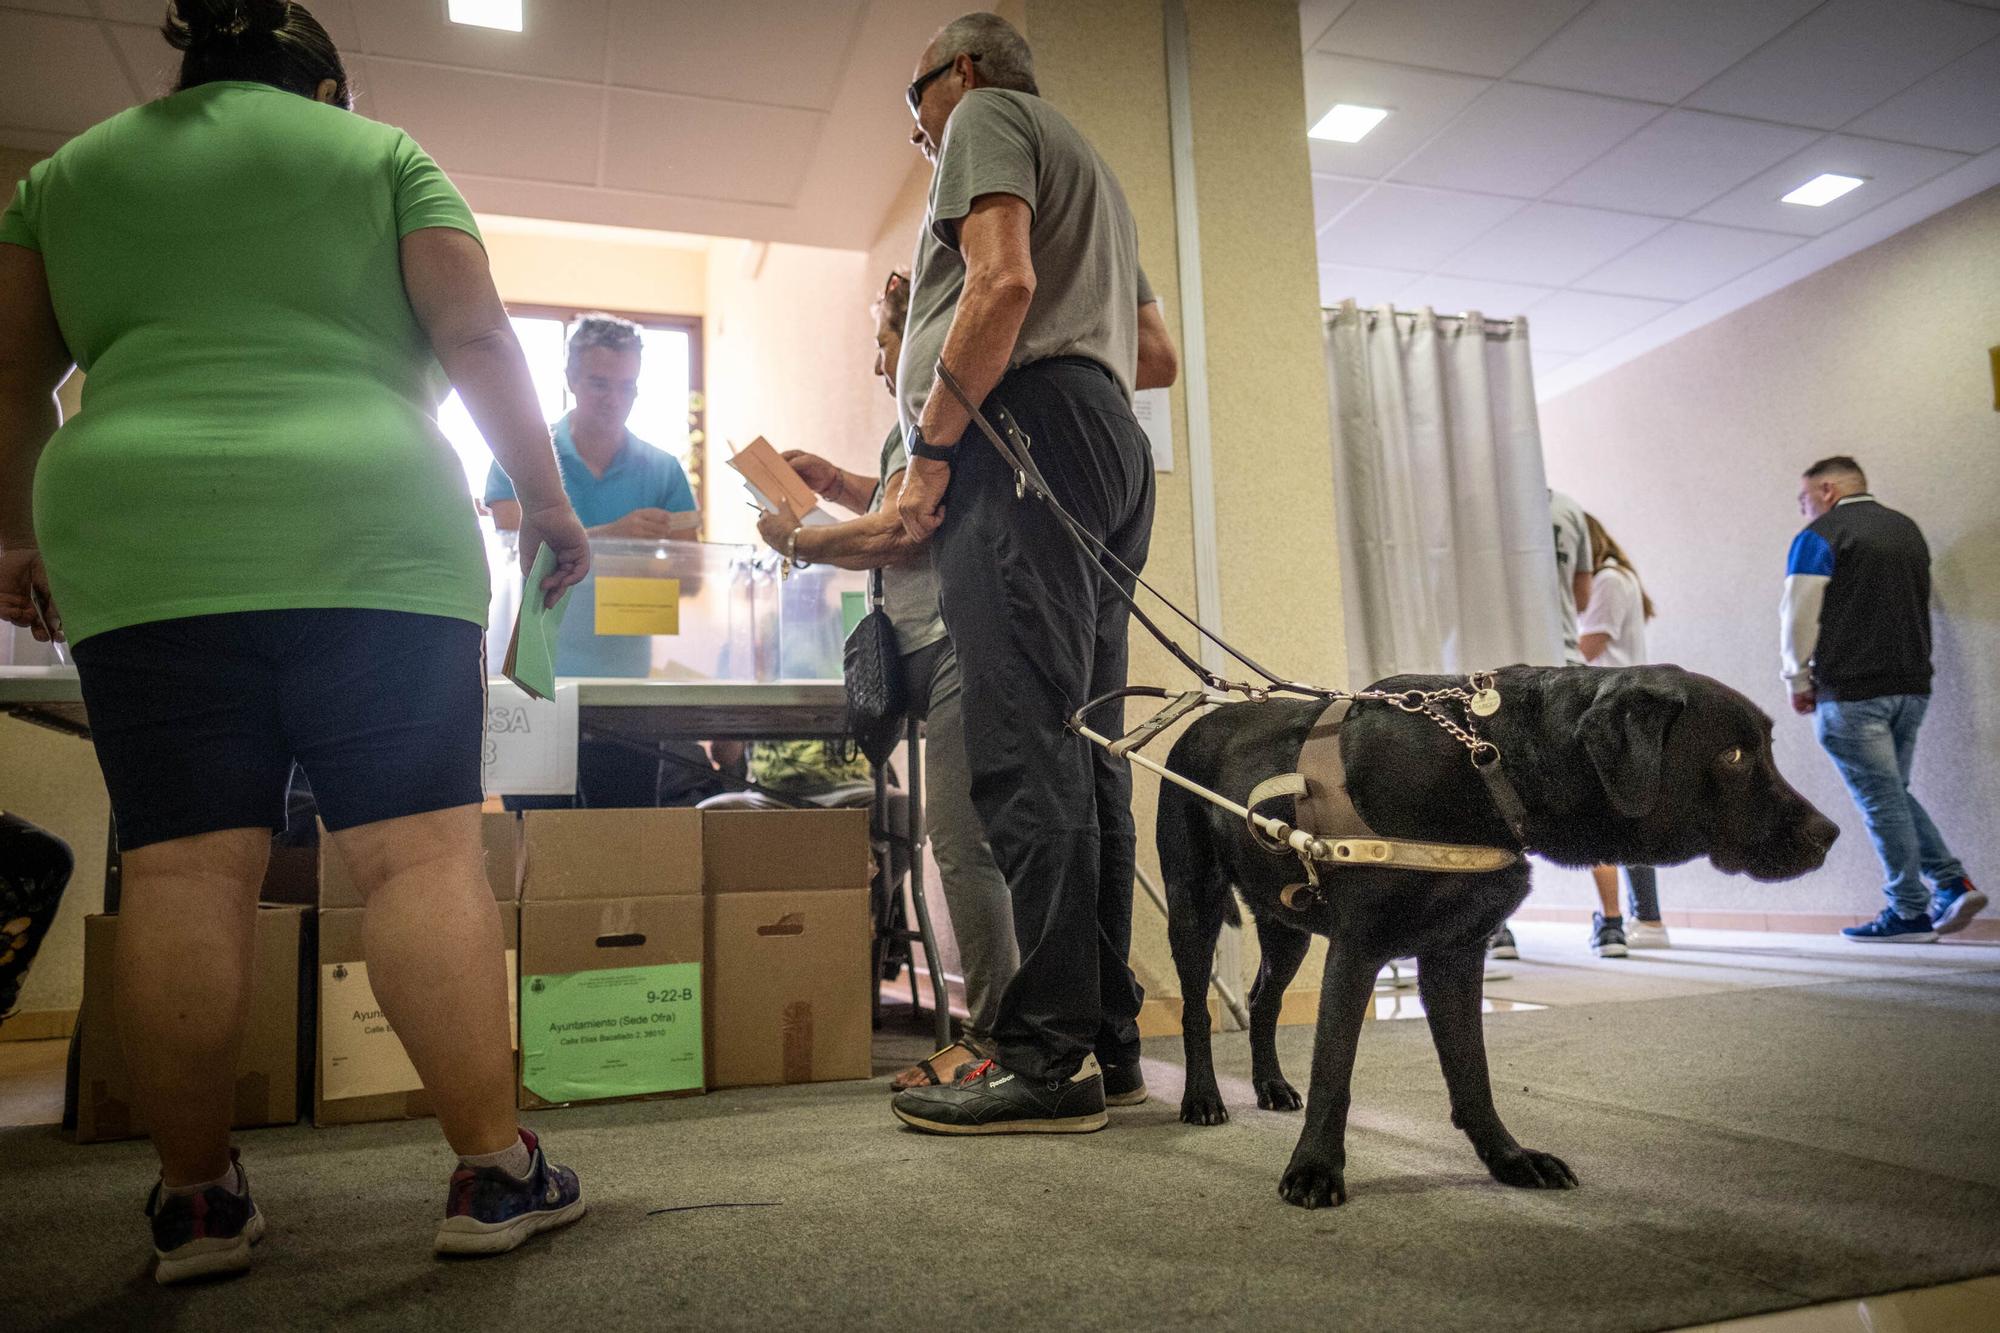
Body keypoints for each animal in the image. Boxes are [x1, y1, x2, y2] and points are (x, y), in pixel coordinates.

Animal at [1160, 660, 1840, 1200]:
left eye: (1765, 748)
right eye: (1733, 756)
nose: (1829, 833)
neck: (1486, 763)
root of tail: (1198, 722)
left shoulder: (1455, 955)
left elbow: (1473, 1072)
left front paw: (1509, 1160)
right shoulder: (1358, 951)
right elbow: (1335, 1070)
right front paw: (1314, 1170)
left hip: (1287, 922)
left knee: (1262, 1000)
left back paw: (1271, 1086)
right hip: (1193, 905)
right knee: (1196, 1008)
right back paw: (1202, 1099)